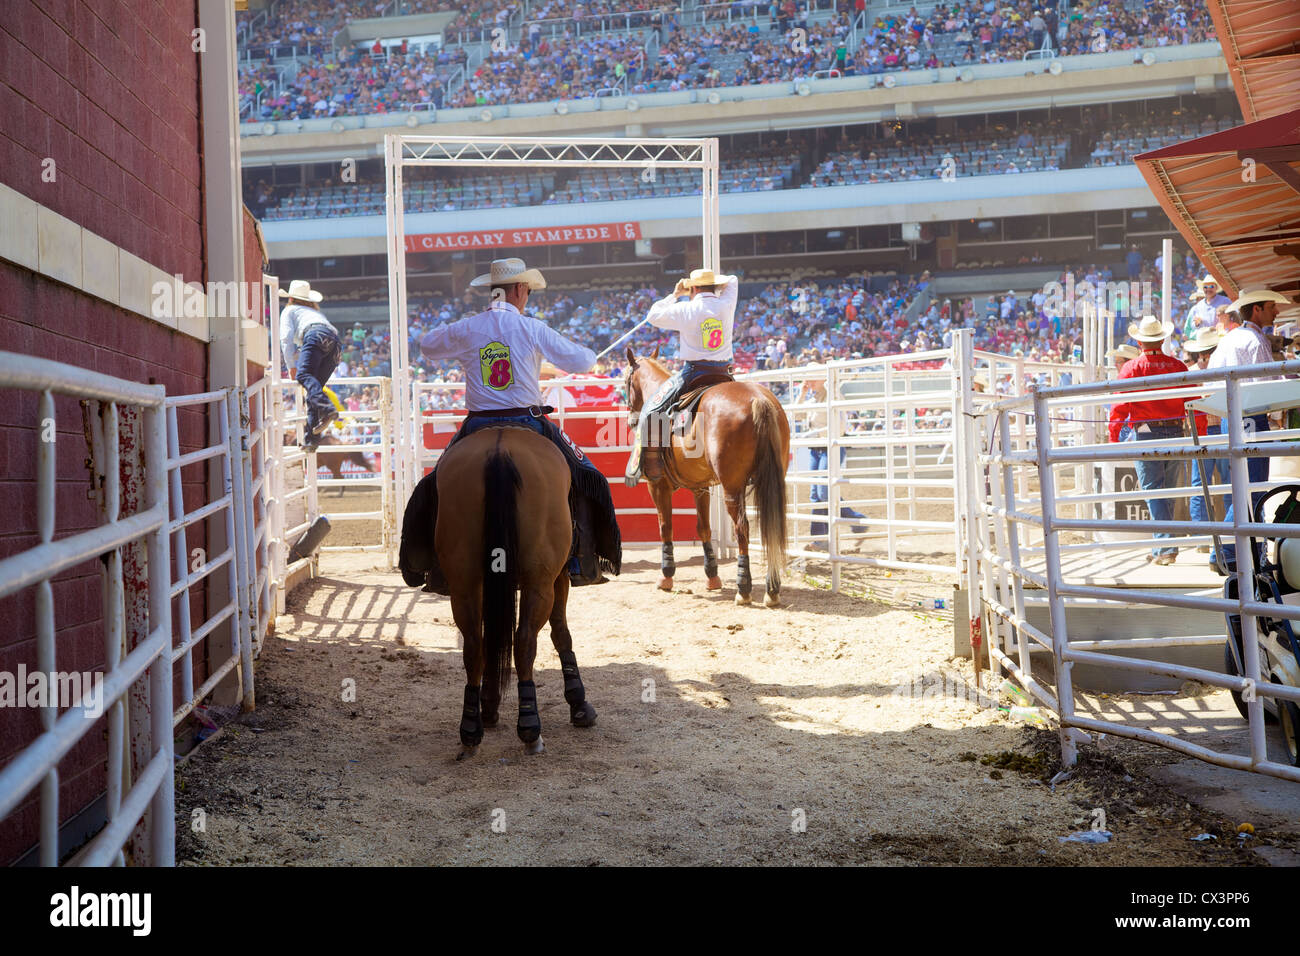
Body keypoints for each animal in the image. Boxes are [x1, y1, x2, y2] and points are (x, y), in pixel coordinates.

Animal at [395, 429, 598, 759]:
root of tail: (500, 451)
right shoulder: (559, 577)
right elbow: (561, 633)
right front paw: (579, 704)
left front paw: (488, 707)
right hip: (539, 580)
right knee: (525, 639)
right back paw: (530, 729)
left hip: (464, 581)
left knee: (474, 645)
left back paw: (470, 730)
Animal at [621, 348, 785, 606]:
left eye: (626, 382)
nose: (631, 421)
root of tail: (757, 399)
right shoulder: (701, 487)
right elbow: (703, 528)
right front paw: (712, 576)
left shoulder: (658, 486)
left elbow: (665, 527)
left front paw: (666, 576)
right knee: (772, 529)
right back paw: (772, 590)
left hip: (732, 487)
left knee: (742, 529)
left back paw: (743, 589)